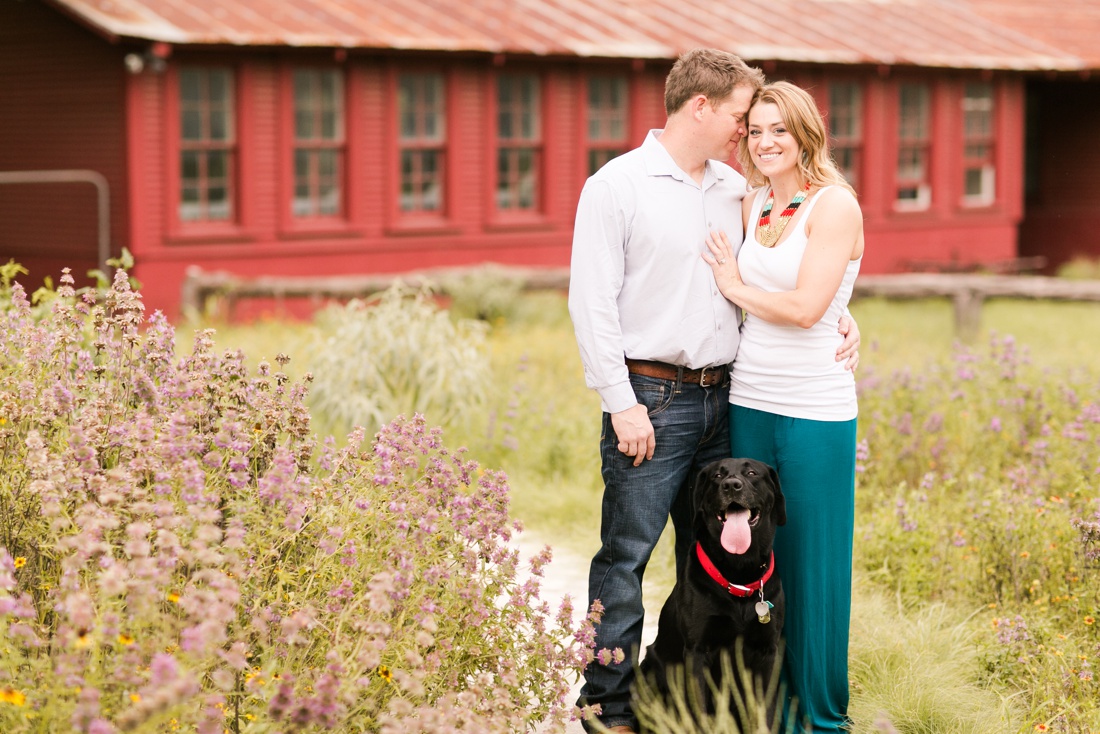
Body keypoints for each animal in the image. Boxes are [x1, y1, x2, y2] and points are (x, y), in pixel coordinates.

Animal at [642, 459, 787, 721]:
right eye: (717, 476)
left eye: (752, 473)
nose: (731, 485)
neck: (738, 572)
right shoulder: (697, 651)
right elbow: (699, 711)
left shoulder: (768, 650)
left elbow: (767, 711)